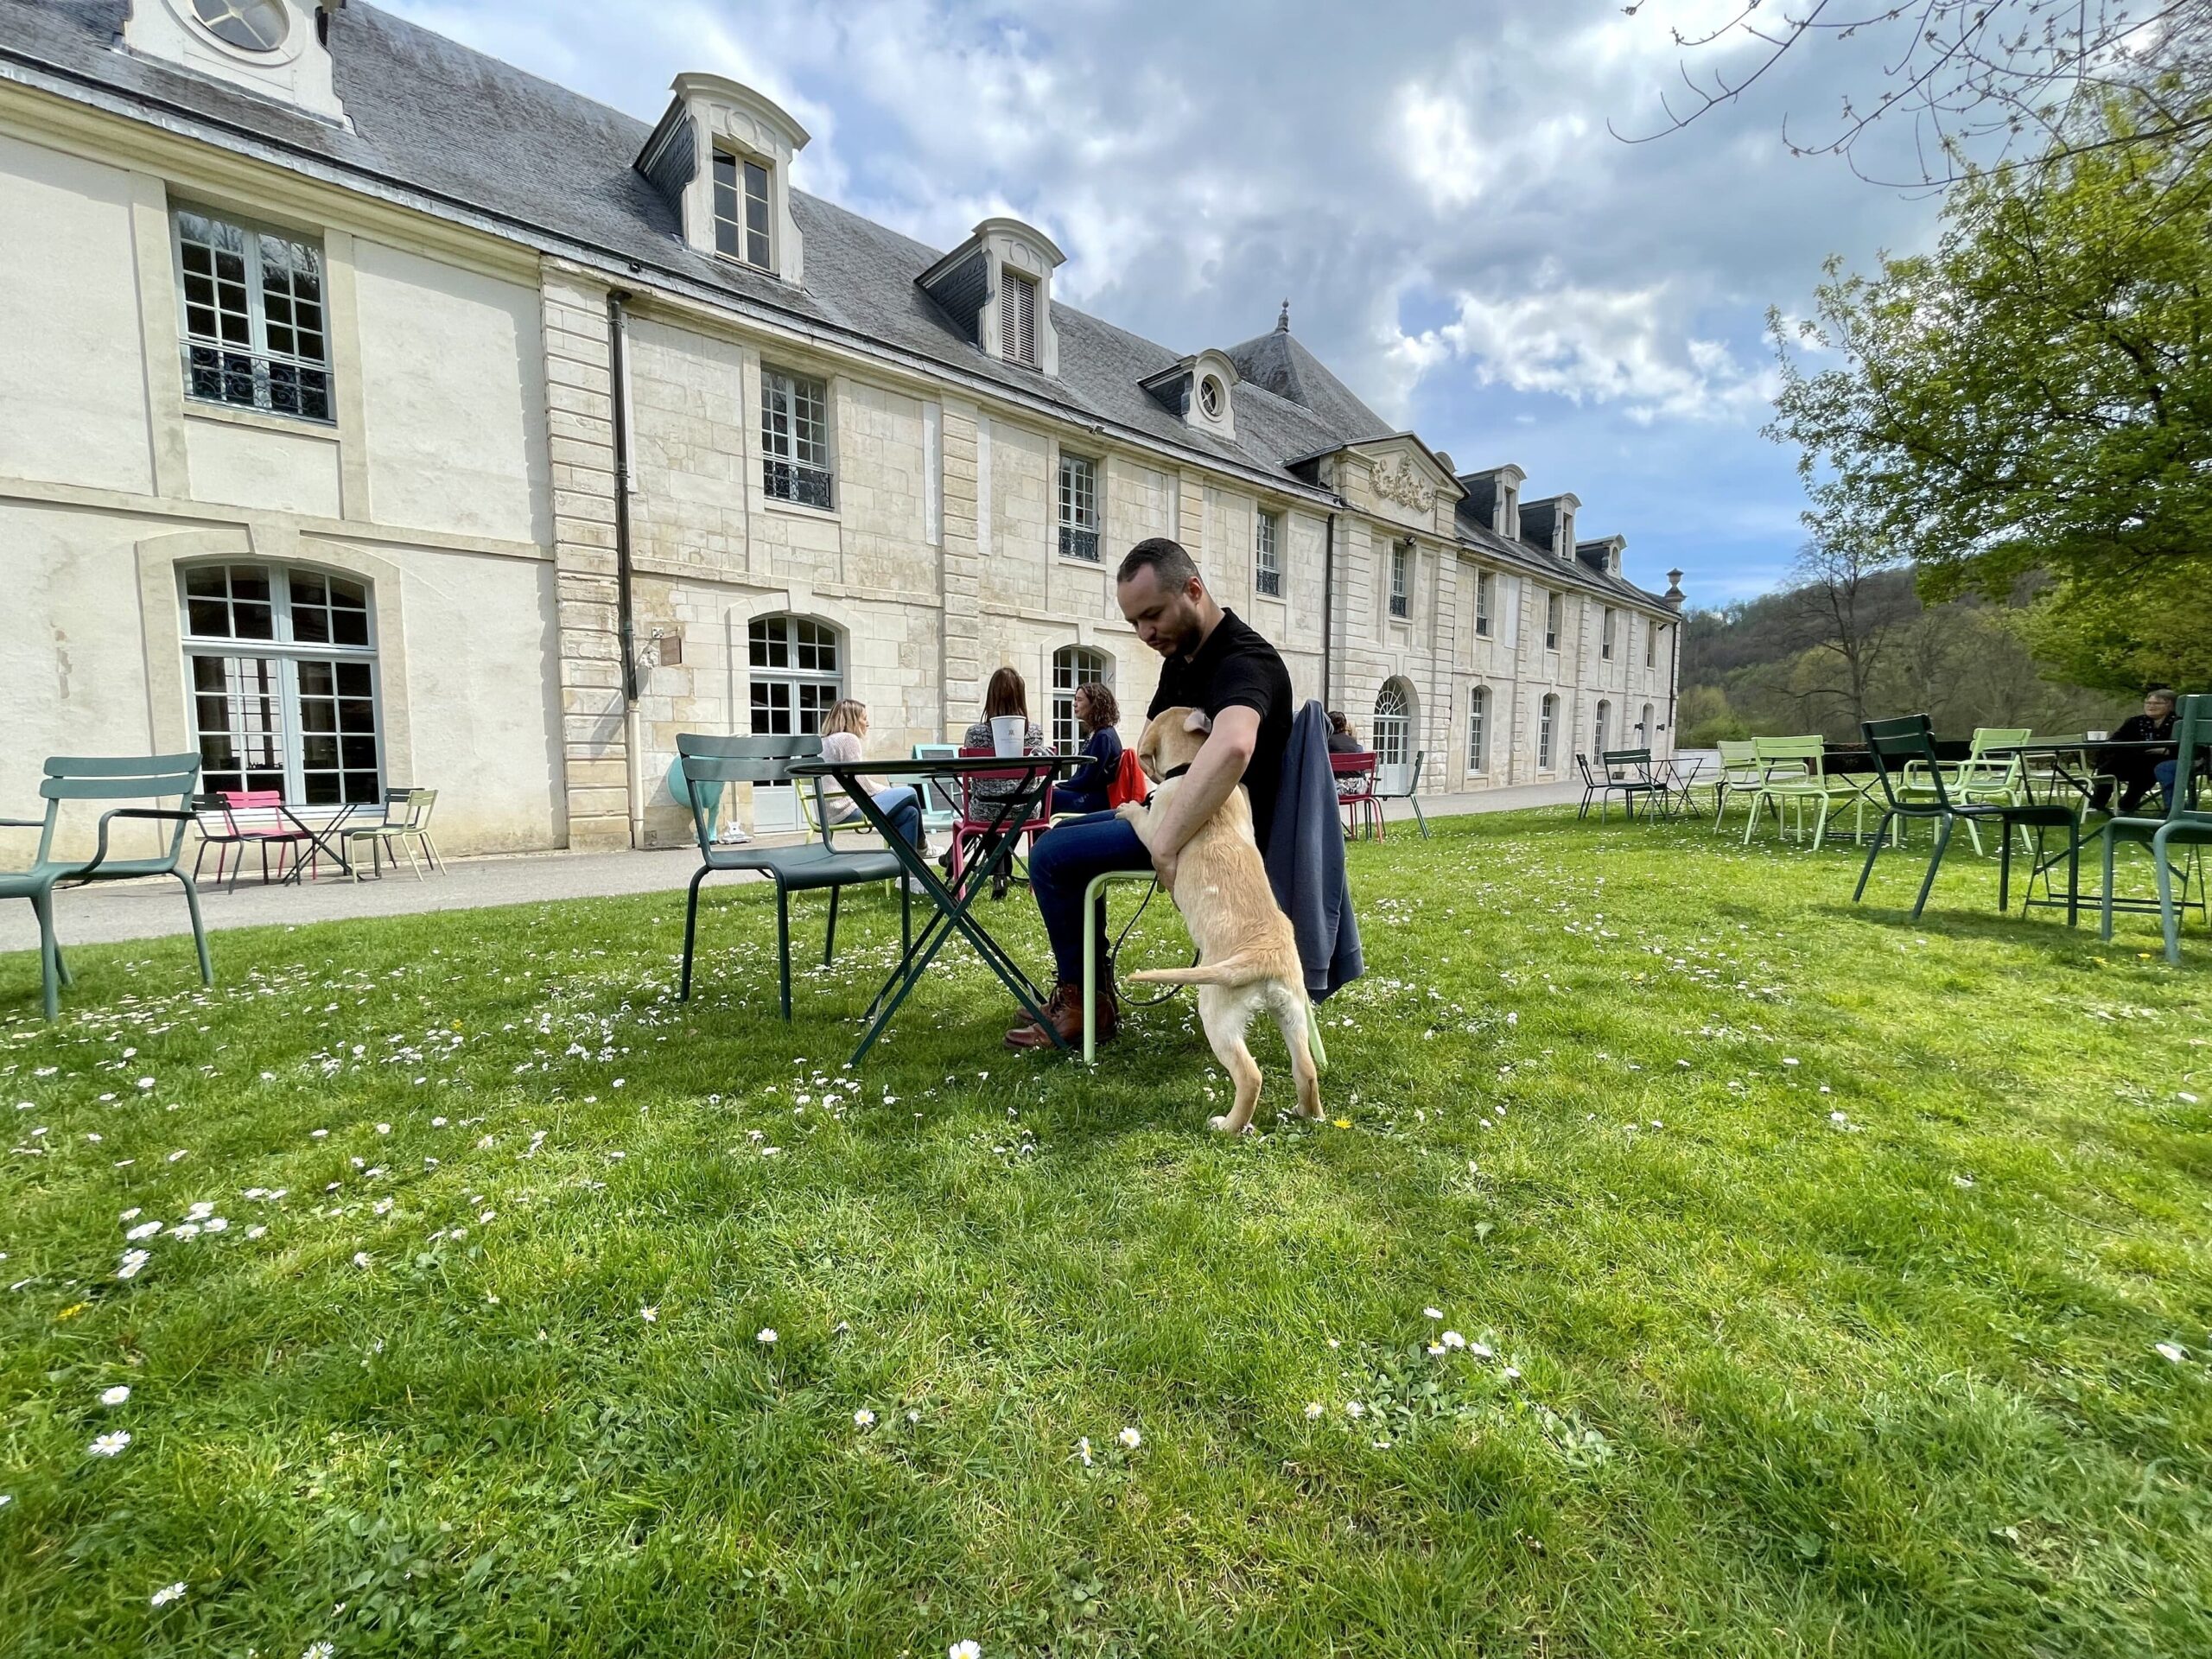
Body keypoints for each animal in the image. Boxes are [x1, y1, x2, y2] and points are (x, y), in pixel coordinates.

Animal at [1115, 708, 1318, 1141]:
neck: (1192, 764)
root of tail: (1263, 958)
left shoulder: (1160, 827)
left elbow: (1145, 820)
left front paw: (1127, 807)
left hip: (1217, 1012)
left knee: (1251, 1076)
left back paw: (1227, 1126)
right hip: (1292, 1011)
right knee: (1306, 1069)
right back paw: (1308, 1112)